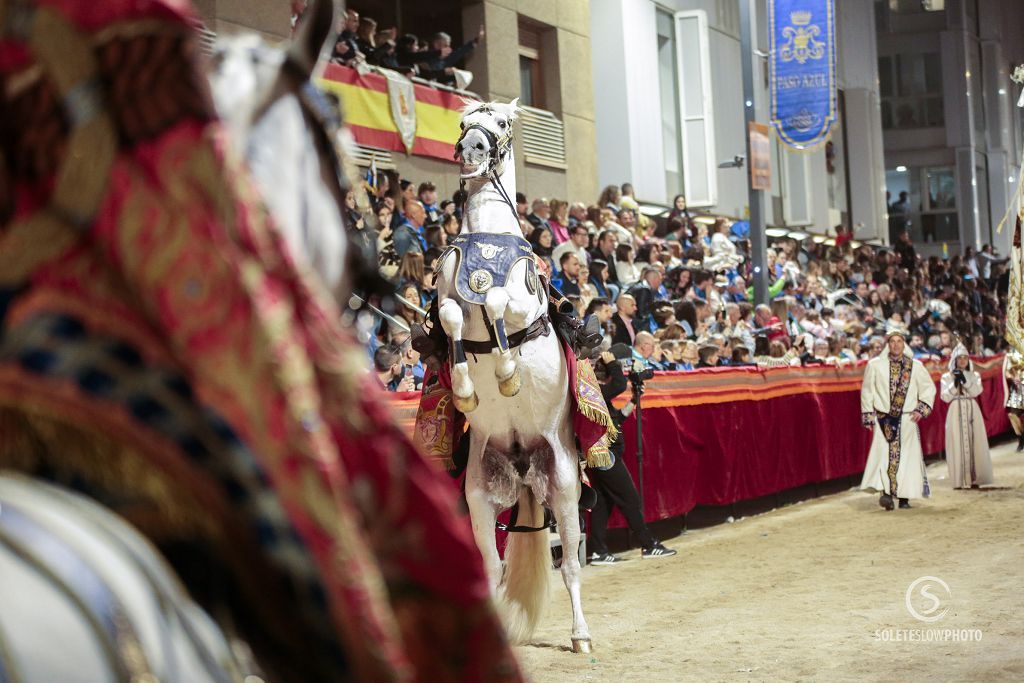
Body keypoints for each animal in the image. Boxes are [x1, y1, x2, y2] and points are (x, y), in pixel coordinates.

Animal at [432, 100, 593, 651]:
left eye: (499, 123)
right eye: (462, 122)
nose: (471, 148)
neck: (489, 238)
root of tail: (524, 464)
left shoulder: (522, 303)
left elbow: (500, 300)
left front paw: (507, 373)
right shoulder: (447, 298)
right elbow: (454, 317)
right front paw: (465, 388)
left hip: (564, 484)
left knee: (570, 567)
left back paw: (582, 637)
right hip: (479, 495)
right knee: (492, 567)